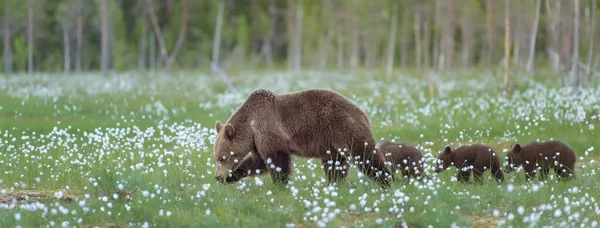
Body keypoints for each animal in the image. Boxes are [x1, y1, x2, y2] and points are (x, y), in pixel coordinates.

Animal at [213, 88, 396, 186]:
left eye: (223, 157)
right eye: (217, 157)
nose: (217, 176)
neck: (251, 127)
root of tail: (363, 112)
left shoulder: (269, 131)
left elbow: (276, 159)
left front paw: (281, 184)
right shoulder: (257, 141)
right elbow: (258, 162)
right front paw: (232, 176)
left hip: (344, 127)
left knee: (365, 154)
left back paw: (387, 180)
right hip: (332, 143)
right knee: (335, 164)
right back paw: (336, 184)